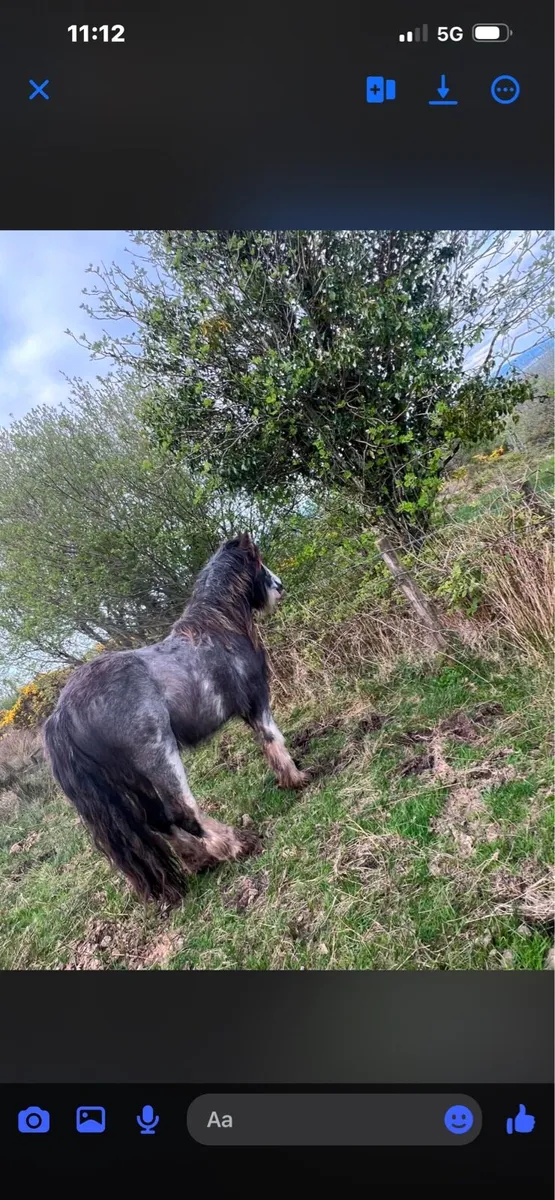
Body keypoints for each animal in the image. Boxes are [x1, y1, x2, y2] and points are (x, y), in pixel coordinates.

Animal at [43, 533, 308, 904]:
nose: (279, 586)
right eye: (256, 560)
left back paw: (200, 861)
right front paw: (295, 778)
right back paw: (236, 844)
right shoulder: (257, 700)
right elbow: (272, 739)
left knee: (158, 821)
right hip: (159, 757)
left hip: (131, 778)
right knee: (183, 811)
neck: (217, 627)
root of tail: (62, 714)